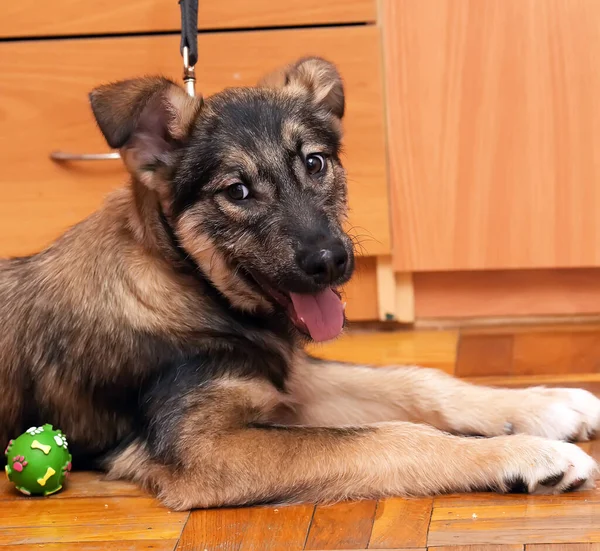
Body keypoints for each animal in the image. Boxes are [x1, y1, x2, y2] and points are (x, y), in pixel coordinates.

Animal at [1, 58, 600, 512]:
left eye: (315, 162)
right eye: (237, 192)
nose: (331, 261)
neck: (186, 282)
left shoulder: (291, 379)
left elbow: (415, 381)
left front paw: (547, 406)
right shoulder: (204, 448)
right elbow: (394, 435)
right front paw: (529, 455)